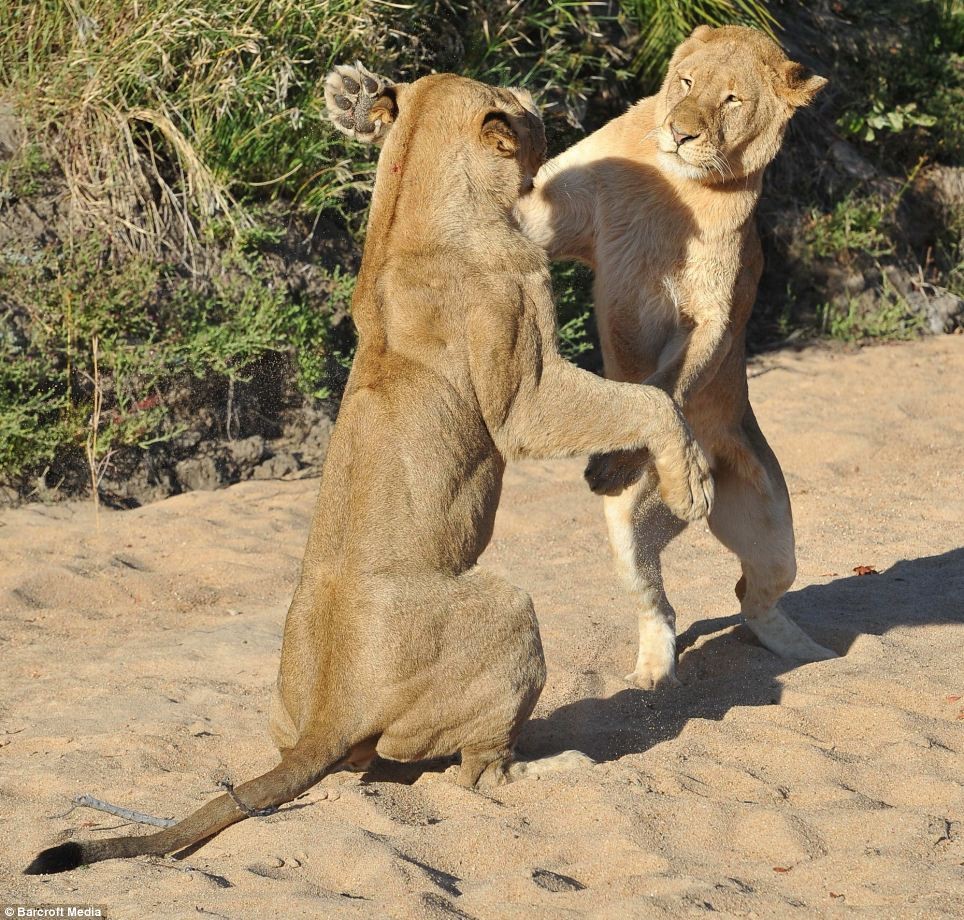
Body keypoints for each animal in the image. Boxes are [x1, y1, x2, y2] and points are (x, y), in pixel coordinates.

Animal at [26, 68, 712, 872]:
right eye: (525, 109)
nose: (546, 105)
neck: (411, 203)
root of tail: (329, 713)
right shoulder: (528, 393)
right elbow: (648, 401)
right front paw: (691, 485)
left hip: (298, 699)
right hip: (510, 604)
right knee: (479, 772)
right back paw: (555, 766)